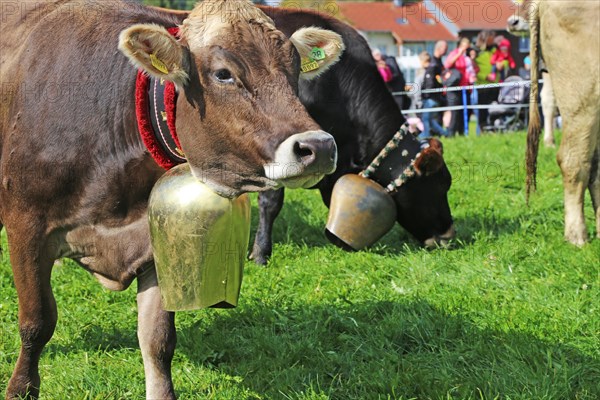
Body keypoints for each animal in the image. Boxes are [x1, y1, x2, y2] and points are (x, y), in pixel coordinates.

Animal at [0, 1, 344, 398]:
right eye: (223, 74)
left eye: (294, 70)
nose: (318, 147)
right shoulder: (26, 224)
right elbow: (37, 321)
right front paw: (20, 387)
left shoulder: (155, 240)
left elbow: (158, 339)